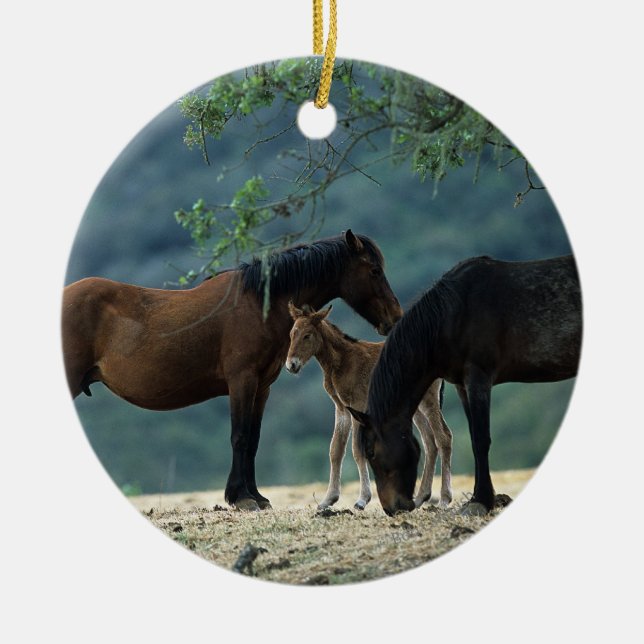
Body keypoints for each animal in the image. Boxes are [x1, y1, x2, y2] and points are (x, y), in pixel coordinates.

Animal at [62, 230, 403, 511]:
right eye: (374, 271)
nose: (395, 318)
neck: (259, 303)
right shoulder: (242, 381)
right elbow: (239, 436)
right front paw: (241, 498)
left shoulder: (262, 387)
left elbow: (253, 440)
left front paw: (256, 496)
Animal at [285, 302, 453, 510]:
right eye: (291, 333)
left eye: (307, 335)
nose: (291, 365)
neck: (341, 361)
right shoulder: (341, 409)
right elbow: (335, 450)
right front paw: (328, 500)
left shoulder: (358, 405)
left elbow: (357, 450)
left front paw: (362, 499)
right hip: (415, 406)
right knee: (430, 442)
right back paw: (421, 497)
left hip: (428, 400)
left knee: (443, 437)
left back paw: (444, 499)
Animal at [348, 255, 582, 516]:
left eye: (371, 452)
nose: (392, 508)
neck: (453, 315)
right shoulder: (462, 385)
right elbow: (472, 438)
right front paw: (481, 498)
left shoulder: (478, 379)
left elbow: (481, 440)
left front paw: (481, 500)